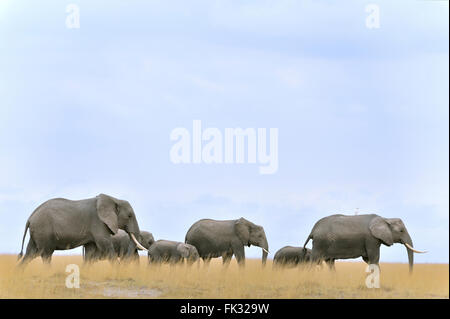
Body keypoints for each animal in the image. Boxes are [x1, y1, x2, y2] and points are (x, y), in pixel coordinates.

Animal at [17, 194, 149, 266]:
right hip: (43, 230)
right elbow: (105, 244)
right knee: (45, 254)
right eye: (129, 216)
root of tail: (30, 217)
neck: (113, 199)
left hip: (37, 232)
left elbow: (90, 250)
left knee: (30, 253)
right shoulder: (98, 222)